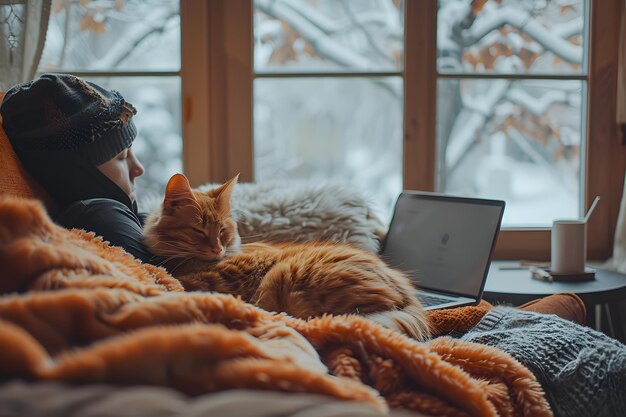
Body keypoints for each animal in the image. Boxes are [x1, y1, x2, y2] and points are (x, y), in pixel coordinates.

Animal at [143, 174, 426, 340]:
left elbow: (186, 283)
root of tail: (409, 296)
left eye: (222, 231)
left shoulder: (223, 278)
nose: (217, 249)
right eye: (198, 232)